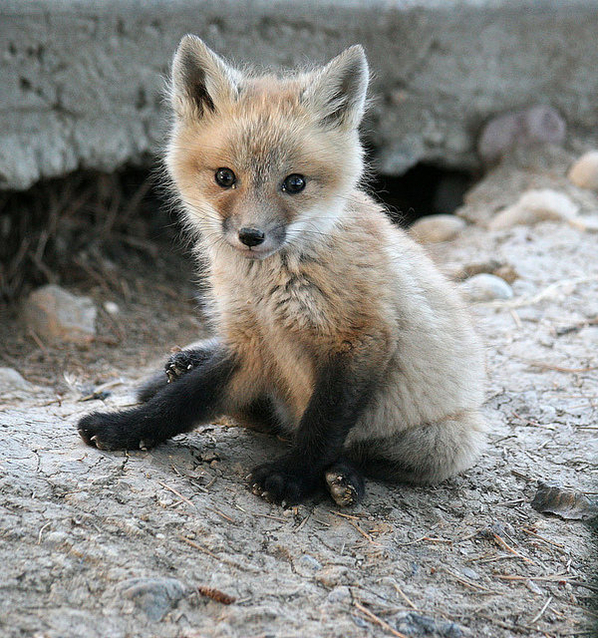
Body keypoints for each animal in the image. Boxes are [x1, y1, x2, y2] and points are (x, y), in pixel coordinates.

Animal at [78, 36, 488, 510]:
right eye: (225, 177)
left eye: (295, 183)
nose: (251, 236)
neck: (268, 288)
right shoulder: (251, 343)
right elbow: (183, 402)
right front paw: (126, 429)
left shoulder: (361, 339)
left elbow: (323, 426)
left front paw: (291, 476)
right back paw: (187, 362)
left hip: (443, 441)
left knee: (357, 451)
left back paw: (343, 477)